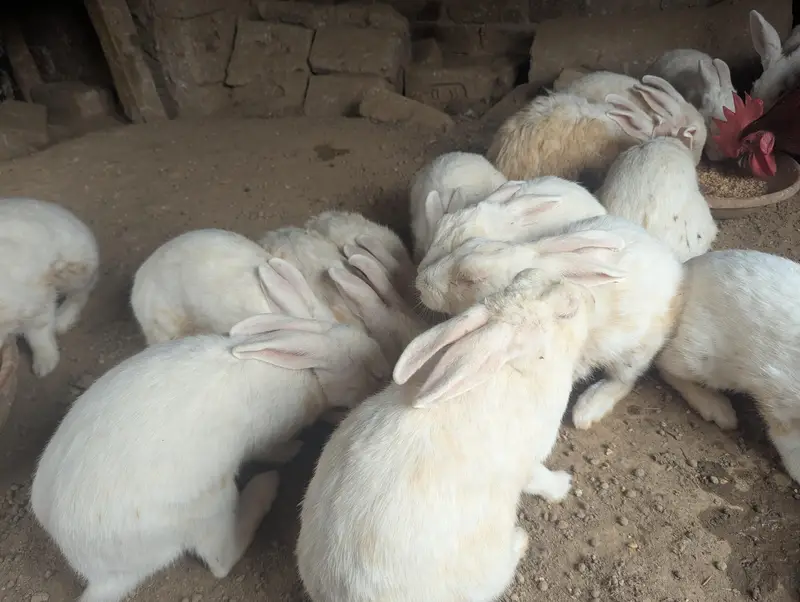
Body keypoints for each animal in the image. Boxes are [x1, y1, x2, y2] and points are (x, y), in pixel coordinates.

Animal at [0, 197, 99, 377]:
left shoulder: (41, 299)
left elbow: (39, 334)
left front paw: (45, 366)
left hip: (73, 271)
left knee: (80, 293)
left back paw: (62, 320)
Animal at [31, 261, 391, 602]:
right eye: (371, 372)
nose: (384, 377)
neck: (309, 371)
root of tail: (102, 574)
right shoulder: (267, 437)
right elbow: (272, 449)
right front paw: (292, 451)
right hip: (209, 507)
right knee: (221, 559)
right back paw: (265, 487)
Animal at [297, 266, 623, 602]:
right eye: (567, 309)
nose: (590, 298)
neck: (515, 369)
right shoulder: (527, 462)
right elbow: (540, 479)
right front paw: (563, 485)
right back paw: (519, 540)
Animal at [416, 215, 684, 430]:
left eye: (470, 278)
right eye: (467, 244)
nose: (420, 283)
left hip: (635, 352)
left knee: (623, 380)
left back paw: (587, 410)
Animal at [656, 250, 800, 483]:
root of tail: (685, 273)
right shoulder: (778, 394)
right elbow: (786, 437)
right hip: (696, 359)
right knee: (664, 367)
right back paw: (717, 409)